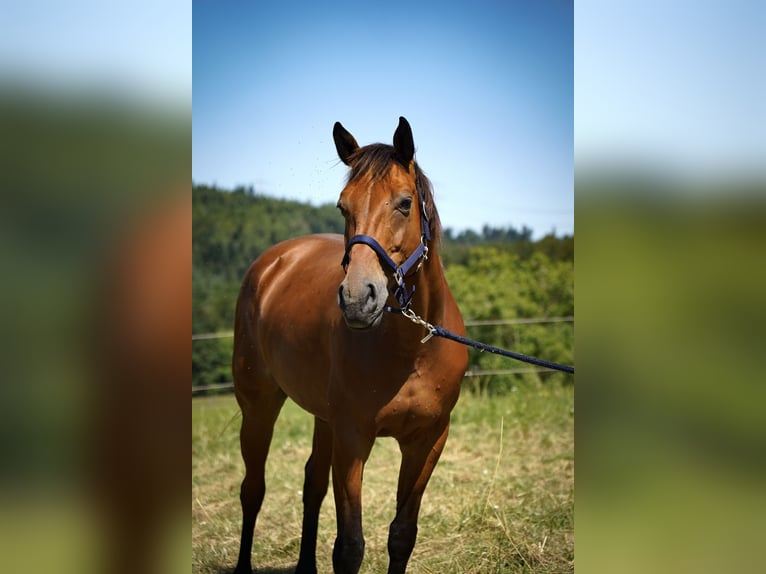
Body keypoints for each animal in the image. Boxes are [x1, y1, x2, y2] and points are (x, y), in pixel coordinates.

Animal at [232, 117, 468, 574]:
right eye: (344, 206)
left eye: (405, 203)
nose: (359, 298)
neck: (411, 351)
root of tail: (271, 264)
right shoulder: (353, 439)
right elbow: (349, 547)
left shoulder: (428, 440)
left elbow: (402, 536)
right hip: (259, 407)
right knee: (253, 490)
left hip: (323, 419)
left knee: (312, 485)